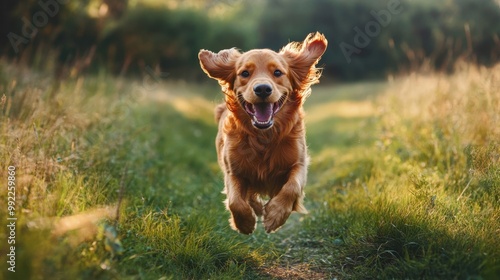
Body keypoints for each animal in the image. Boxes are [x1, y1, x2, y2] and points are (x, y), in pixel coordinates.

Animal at [199, 32, 328, 234]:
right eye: (245, 73)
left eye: (277, 73)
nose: (262, 89)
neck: (264, 136)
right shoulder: (233, 170)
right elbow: (235, 200)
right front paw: (244, 223)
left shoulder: (299, 163)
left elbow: (292, 187)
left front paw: (275, 215)